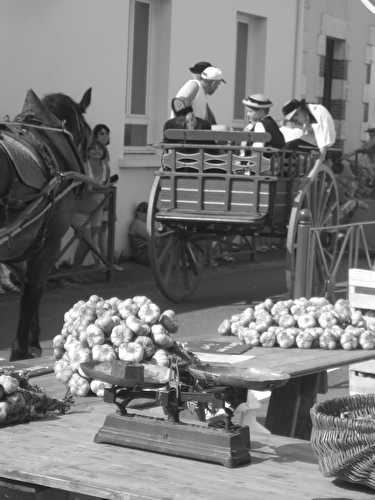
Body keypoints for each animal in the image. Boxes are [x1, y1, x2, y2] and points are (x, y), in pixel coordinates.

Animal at [0, 87, 93, 360]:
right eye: (89, 135)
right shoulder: (49, 244)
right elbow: (33, 292)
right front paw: (22, 348)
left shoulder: (20, 245)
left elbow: (29, 288)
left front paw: (32, 341)